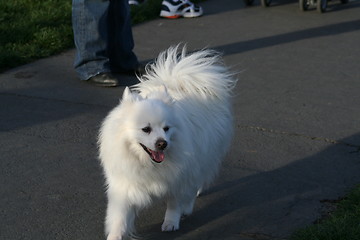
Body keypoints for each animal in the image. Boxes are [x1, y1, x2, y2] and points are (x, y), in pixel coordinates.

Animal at [98, 45, 236, 240]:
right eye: (146, 129)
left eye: (166, 128)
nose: (162, 143)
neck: (148, 164)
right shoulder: (125, 184)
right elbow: (120, 217)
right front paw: (115, 235)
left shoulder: (178, 178)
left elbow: (174, 203)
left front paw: (171, 222)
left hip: (202, 157)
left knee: (194, 184)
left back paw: (188, 206)